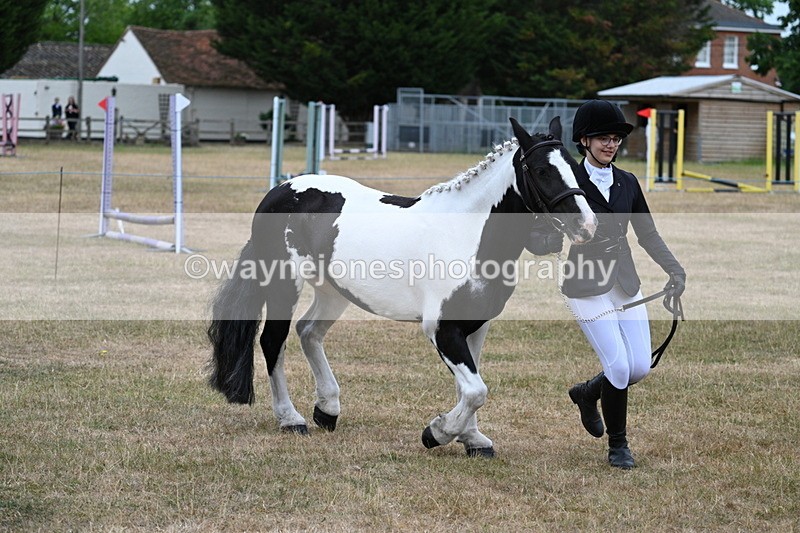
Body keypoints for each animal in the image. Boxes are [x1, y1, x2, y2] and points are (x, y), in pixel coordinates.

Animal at [207, 117, 597, 457]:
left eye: (575, 167)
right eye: (542, 171)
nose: (587, 226)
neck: (467, 233)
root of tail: (280, 191)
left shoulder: (476, 326)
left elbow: (470, 386)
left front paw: (473, 439)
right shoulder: (441, 329)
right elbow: (476, 390)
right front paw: (436, 433)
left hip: (333, 291)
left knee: (309, 331)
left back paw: (327, 409)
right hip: (284, 282)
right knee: (274, 340)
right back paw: (291, 419)